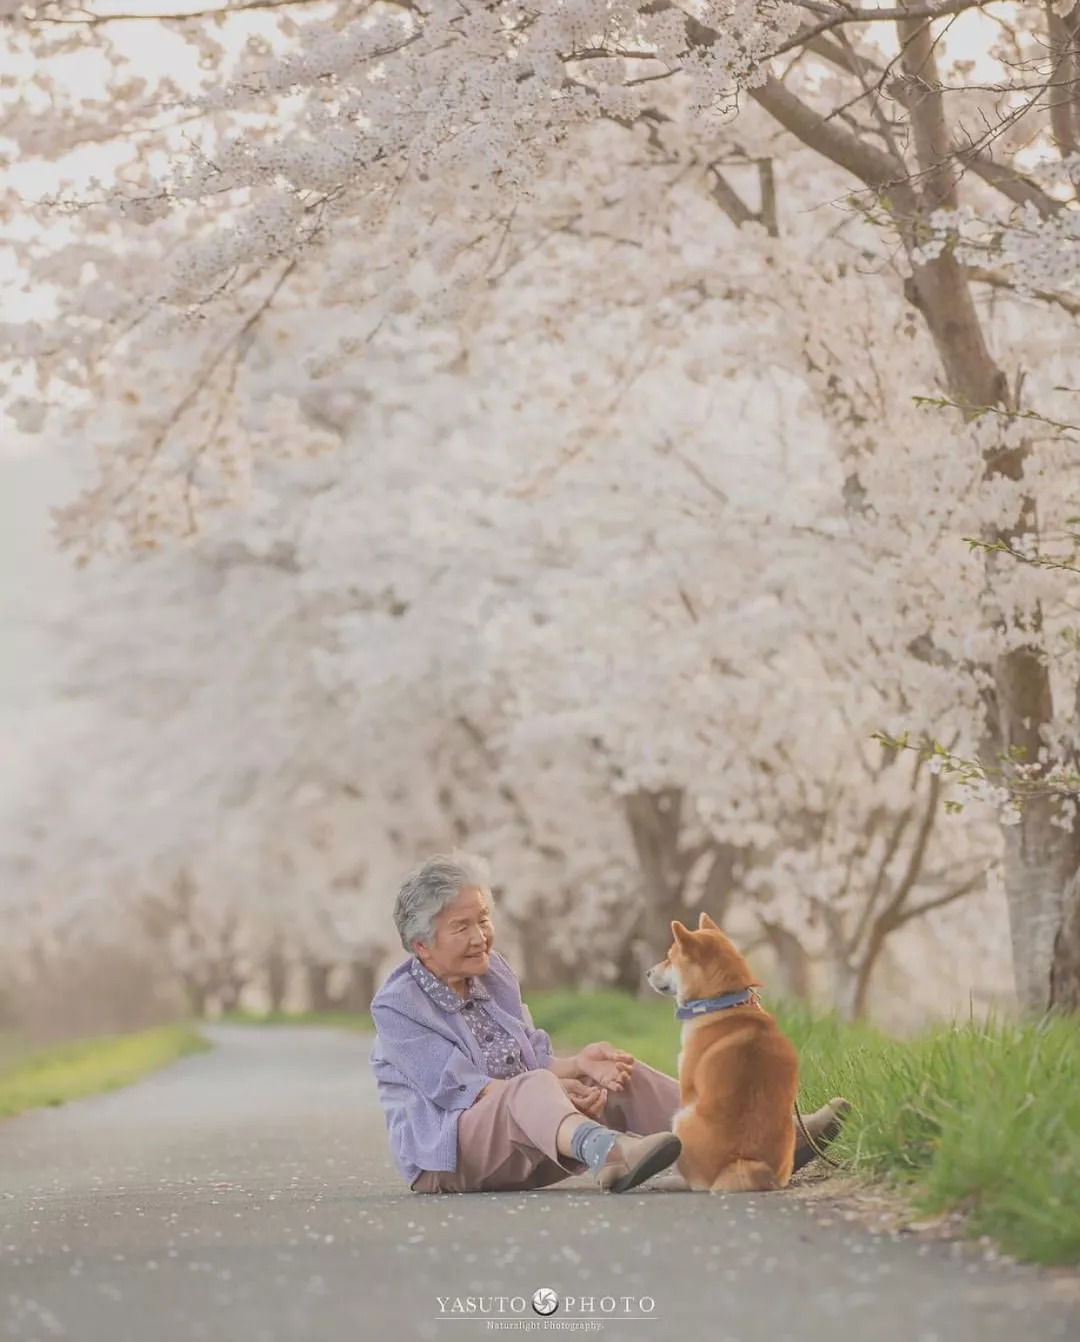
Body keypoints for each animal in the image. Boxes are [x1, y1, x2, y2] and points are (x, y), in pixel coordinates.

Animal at [643, 917, 794, 1191]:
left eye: (669, 958)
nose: (647, 972)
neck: (723, 1003)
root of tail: (743, 1162)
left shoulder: (686, 1086)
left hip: (681, 1119)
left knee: (696, 1184)